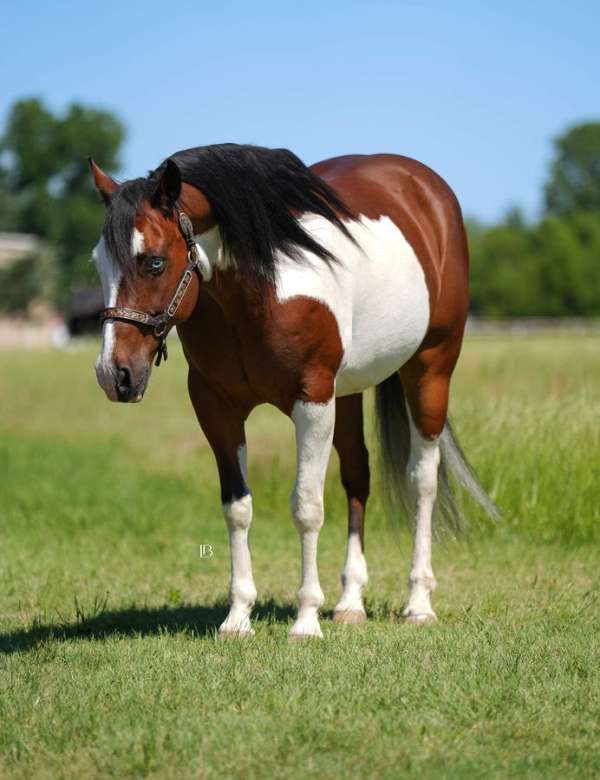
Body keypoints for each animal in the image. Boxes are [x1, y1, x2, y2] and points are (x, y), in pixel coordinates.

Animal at [89, 144, 497, 639]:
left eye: (153, 262)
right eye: (98, 263)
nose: (113, 373)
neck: (261, 290)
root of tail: (426, 187)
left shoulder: (313, 401)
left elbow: (306, 506)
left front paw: (305, 620)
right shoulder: (216, 407)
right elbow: (237, 506)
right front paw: (238, 617)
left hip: (430, 369)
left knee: (422, 480)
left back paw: (418, 603)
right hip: (349, 392)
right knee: (357, 476)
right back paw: (350, 603)